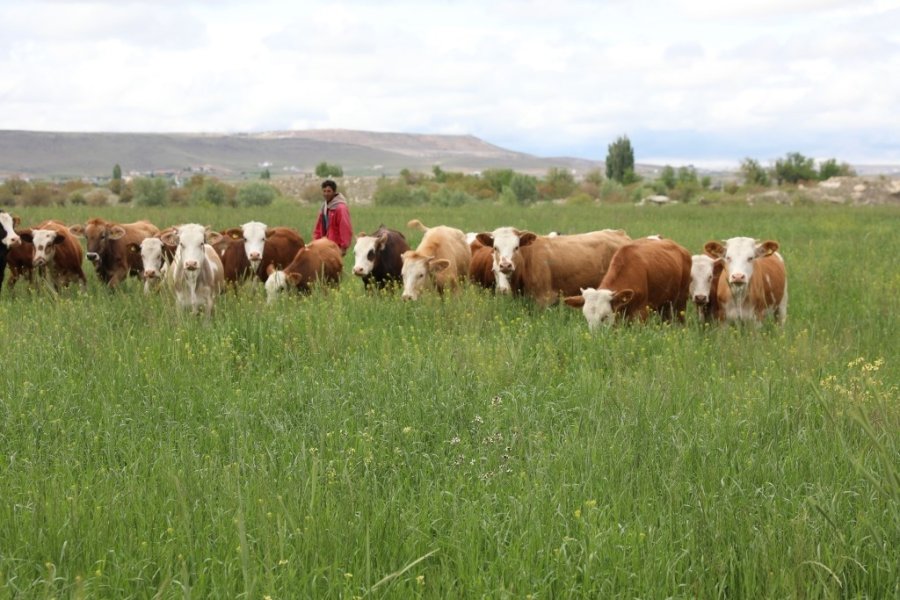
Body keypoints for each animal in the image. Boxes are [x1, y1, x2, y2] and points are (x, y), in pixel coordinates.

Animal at [564, 237, 696, 328]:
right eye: (587, 318)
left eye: (604, 317)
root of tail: (681, 249)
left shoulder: (641, 313)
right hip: (664, 304)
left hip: (681, 301)